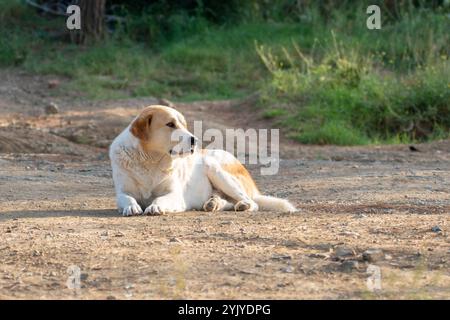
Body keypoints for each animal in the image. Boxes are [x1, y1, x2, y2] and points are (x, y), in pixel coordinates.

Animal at [108, 104, 298, 215]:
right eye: (170, 124)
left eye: (183, 125)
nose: (195, 140)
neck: (151, 160)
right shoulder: (122, 191)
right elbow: (127, 198)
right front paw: (131, 207)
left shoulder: (175, 195)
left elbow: (159, 199)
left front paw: (155, 206)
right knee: (227, 201)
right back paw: (213, 204)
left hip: (215, 169)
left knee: (251, 202)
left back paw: (243, 205)